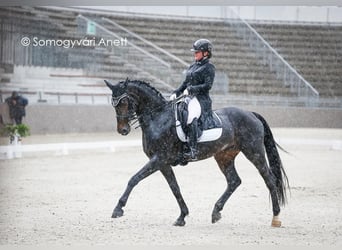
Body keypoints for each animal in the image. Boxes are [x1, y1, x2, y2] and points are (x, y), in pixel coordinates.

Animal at [105, 79, 288, 228]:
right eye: (113, 104)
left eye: (124, 101)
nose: (123, 130)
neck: (158, 117)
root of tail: (251, 114)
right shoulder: (162, 163)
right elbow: (175, 188)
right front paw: (182, 217)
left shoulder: (159, 159)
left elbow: (134, 179)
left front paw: (118, 209)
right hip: (224, 156)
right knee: (234, 181)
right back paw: (216, 212)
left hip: (254, 152)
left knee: (269, 179)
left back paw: (276, 218)